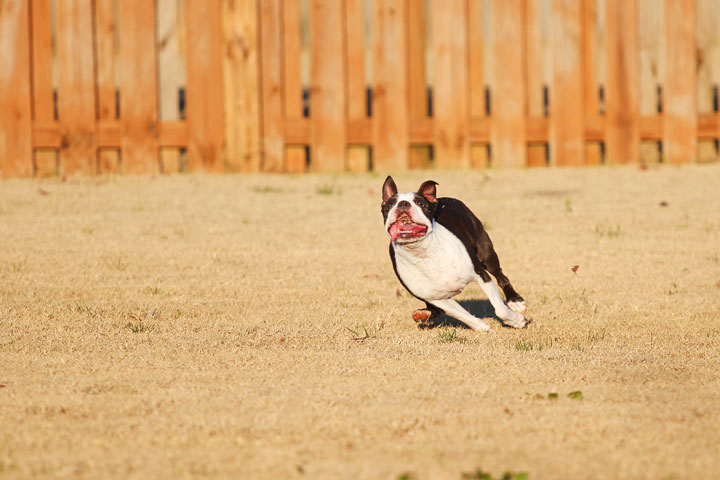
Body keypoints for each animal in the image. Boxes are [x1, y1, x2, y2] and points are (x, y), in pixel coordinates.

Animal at [382, 176, 528, 330]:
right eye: (390, 204)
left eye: (420, 202)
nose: (403, 204)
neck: (422, 253)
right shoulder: (438, 299)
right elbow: (463, 315)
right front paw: (481, 327)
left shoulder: (481, 275)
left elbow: (500, 310)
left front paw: (517, 321)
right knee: (434, 310)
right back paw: (423, 313)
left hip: (486, 254)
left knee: (501, 276)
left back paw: (515, 301)